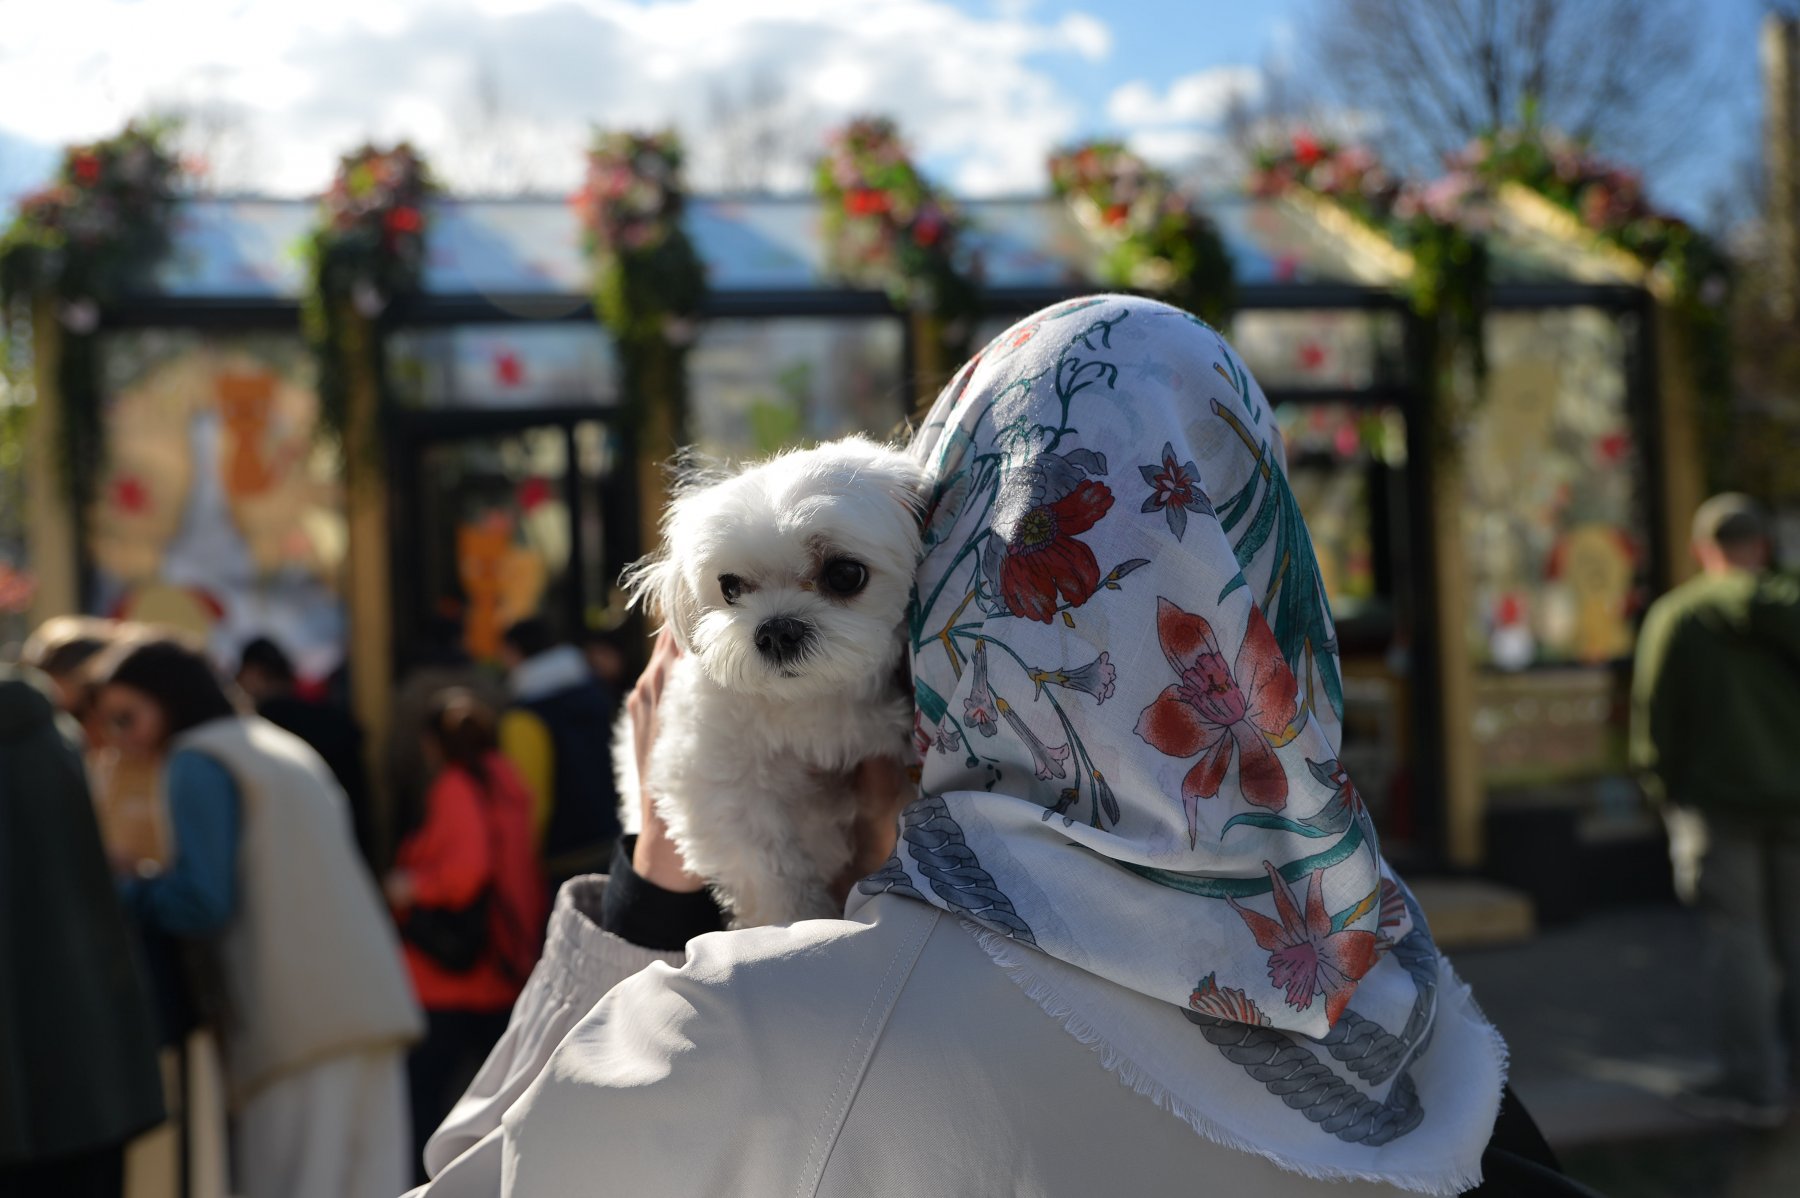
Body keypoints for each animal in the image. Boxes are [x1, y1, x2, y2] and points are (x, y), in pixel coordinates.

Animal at [619, 437, 928, 920]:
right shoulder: (712, 775)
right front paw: (796, 917)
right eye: (729, 587)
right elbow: (766, 867)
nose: (777, 630)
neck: (806, 703)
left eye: (845, 574)